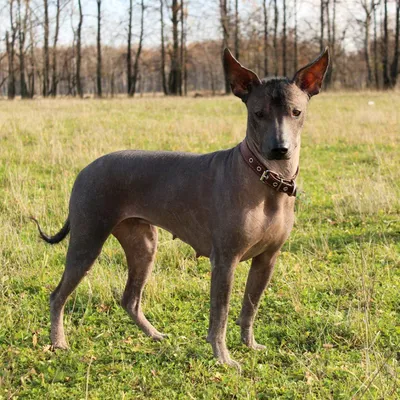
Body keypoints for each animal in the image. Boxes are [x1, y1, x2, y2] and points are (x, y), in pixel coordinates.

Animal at [33, 48, 328, 370]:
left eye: (296, 112)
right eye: (257, 113)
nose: (280, 149)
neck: (266, 178)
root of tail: (86, 169)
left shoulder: (267, 260)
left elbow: (249, 308)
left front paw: (249, 345)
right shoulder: (225, 261)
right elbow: (220, 316)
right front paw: (223, 358)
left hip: (144, 245)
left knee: (129, 299)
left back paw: (154, 335)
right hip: (87, 242)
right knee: (57, 296)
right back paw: (58, 342)